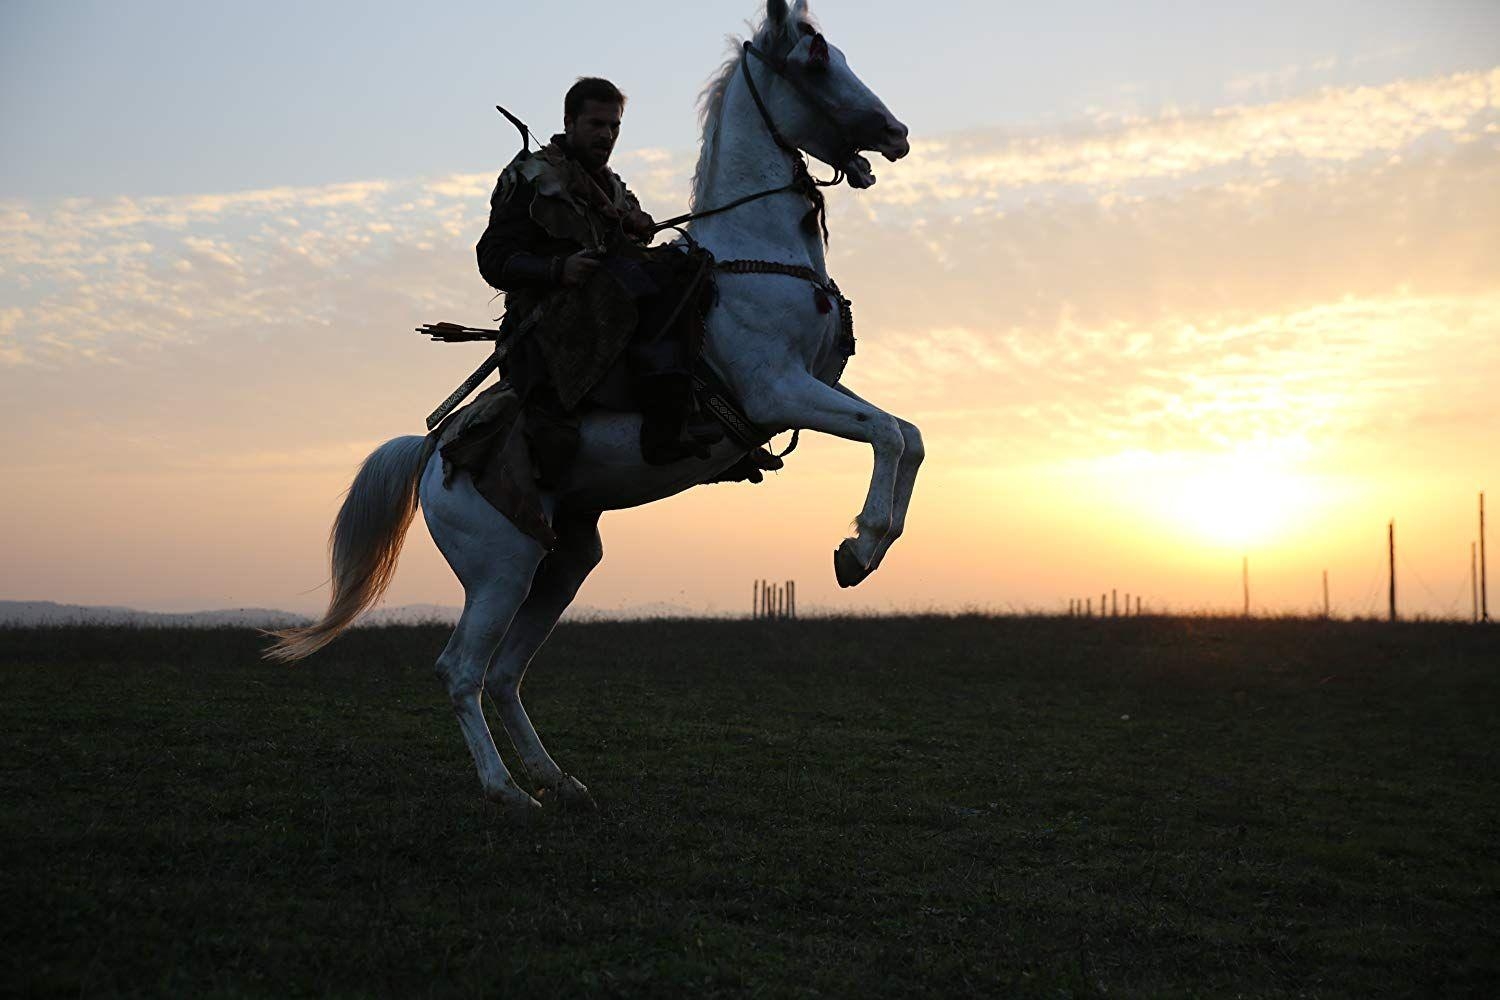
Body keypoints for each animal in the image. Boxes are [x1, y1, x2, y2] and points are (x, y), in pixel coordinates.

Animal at [274, 0, 918, 815]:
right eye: (816, 58)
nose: (896, 133)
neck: (752, 260)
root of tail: (434, 452)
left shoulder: (817, 386)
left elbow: (907, 433)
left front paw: (867, 545)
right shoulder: (778, 390)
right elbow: (887, 435)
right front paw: (859, 548)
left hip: (563, 562)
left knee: (505, 671)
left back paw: (555, 779)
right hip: (502, 567)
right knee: (461, 669)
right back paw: (506, 791)